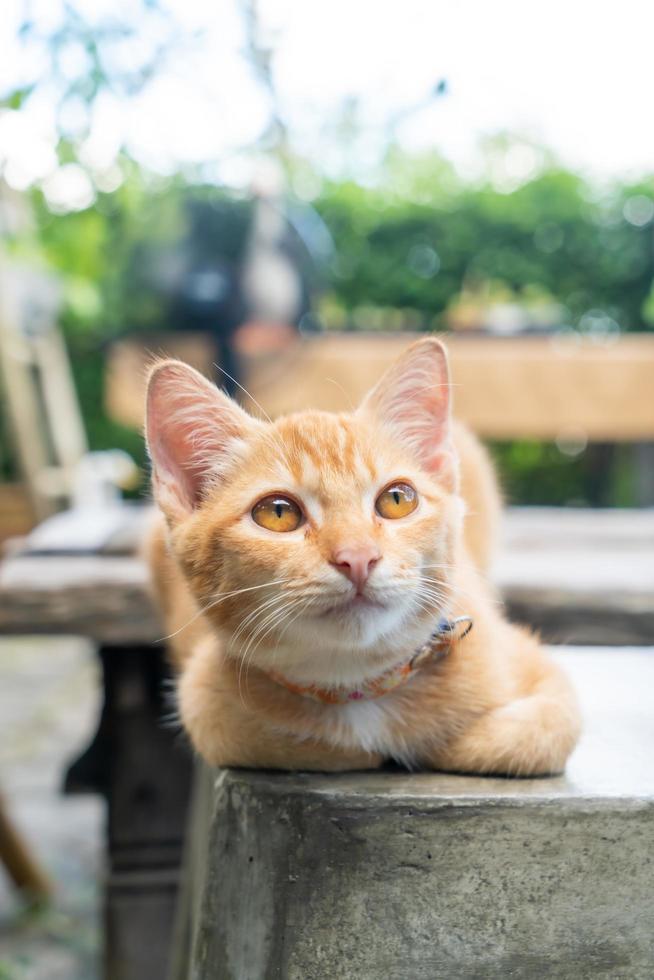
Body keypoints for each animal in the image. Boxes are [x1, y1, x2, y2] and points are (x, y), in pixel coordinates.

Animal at [146, 336, 580, 772]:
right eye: (278, 513)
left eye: (397, 499)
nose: (357, 558)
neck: (358, 687)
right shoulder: (205, 700)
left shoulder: (538, 668)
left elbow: (545, 728)